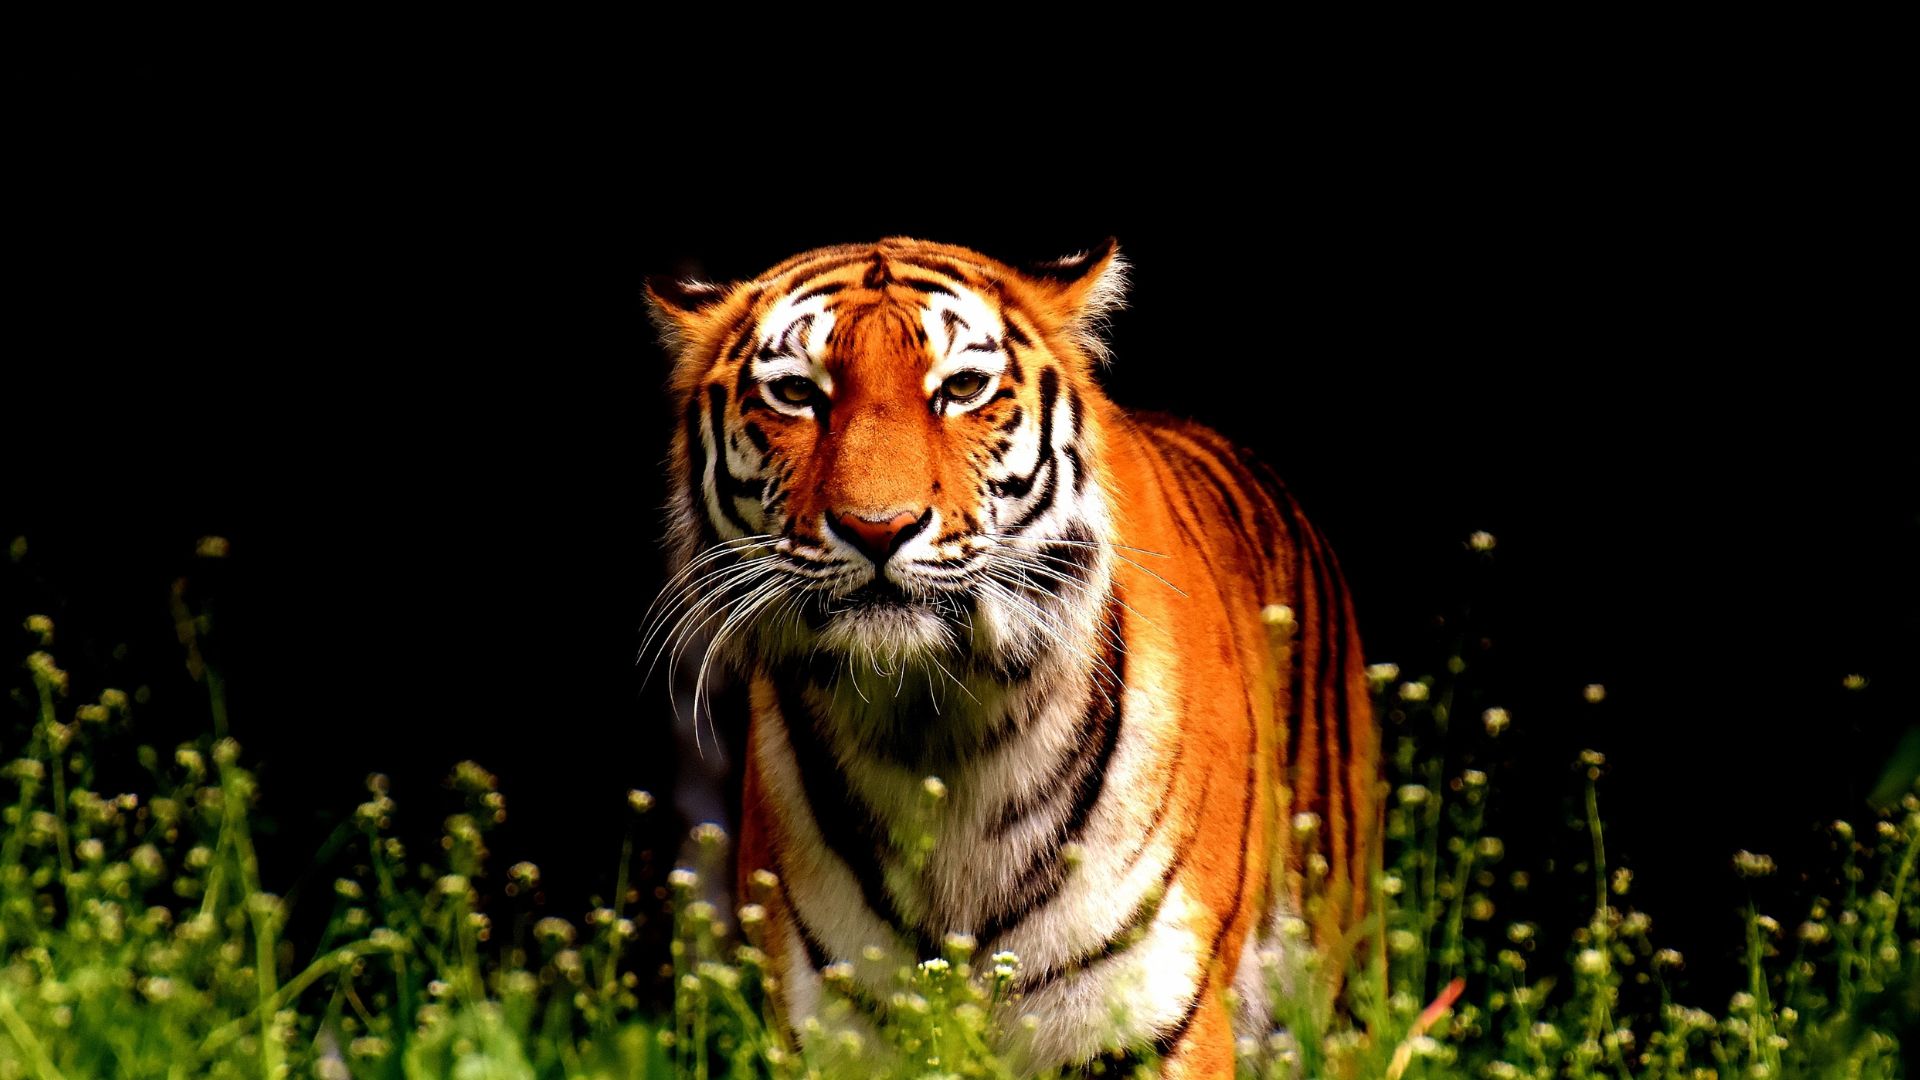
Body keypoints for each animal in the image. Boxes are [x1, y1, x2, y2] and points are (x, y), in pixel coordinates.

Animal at [644, 237, 1381, 1078]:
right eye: (797, 393)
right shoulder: (832, 1033)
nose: (876, 526)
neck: (931, 736)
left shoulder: (1149, 1024)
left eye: (963, 388)